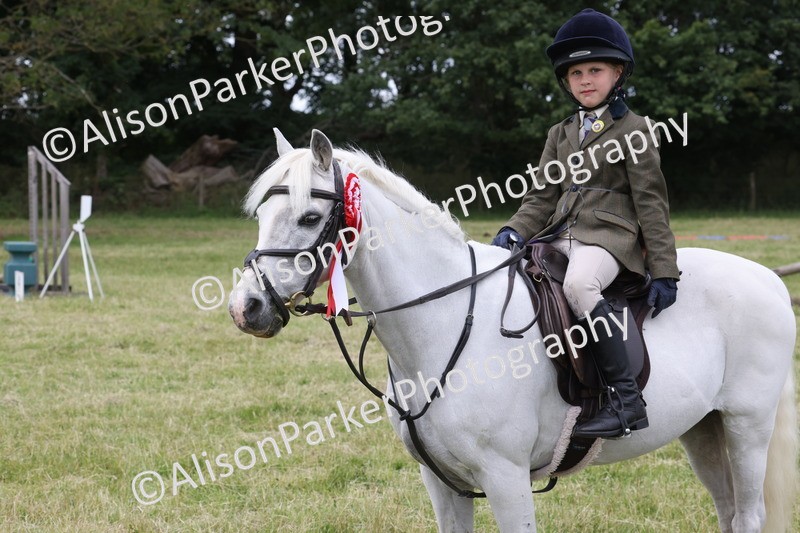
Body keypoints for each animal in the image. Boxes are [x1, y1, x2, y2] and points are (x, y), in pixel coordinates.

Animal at [228, 129, 798, 532]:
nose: (245, 307)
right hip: (703, 429)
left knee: (748, 515)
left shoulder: (506, 480)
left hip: (747, 426)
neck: (444, 323)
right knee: (727, 512)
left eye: (308, 217)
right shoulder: (442, 483)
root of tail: (768, 277)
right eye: (261, 214)